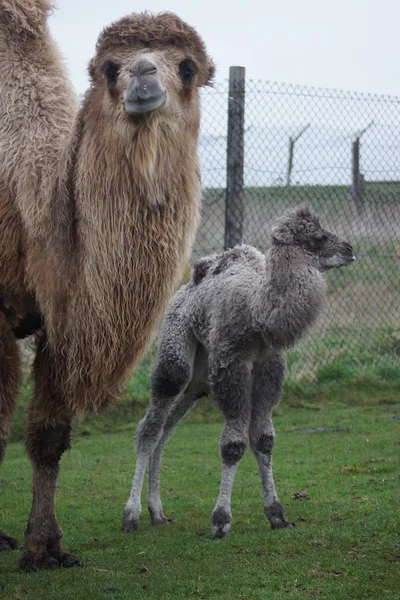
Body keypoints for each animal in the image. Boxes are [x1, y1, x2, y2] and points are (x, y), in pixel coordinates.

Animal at [0, 0, 216, 568]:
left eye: (188, 68)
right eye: (109, 69)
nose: (142, 75)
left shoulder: (60, 322)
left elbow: (48, 435)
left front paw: (44, 548)